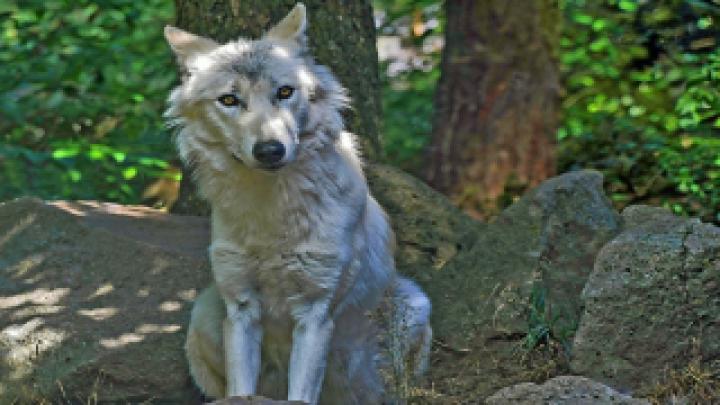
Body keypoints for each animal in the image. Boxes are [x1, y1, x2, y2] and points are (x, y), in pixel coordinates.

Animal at [164, 4, 432, 404]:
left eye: (285, 92)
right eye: (229, 100)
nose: (270, 150)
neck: (271, 214)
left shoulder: (315, 312)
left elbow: (301, 393)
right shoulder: (241, 308)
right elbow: (240, 387)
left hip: (412, 308)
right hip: (203, 313)